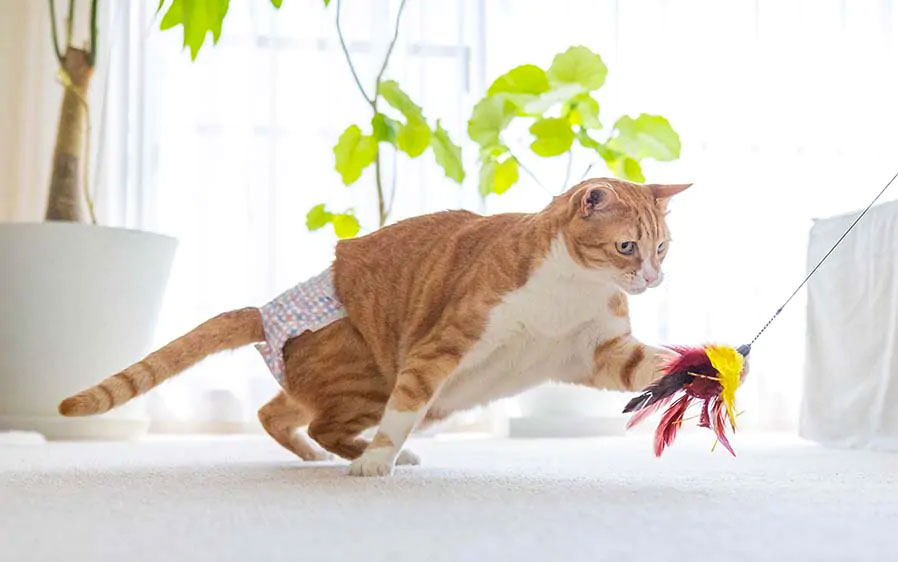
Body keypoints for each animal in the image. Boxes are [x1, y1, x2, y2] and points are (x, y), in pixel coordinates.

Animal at [59, 177, 688, 474]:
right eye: (627, 247)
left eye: (662, 247)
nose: (654, 278)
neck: (571, 288)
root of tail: (265, 309)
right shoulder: (437, 348)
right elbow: (404, 408)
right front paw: (378, 461)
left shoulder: (596, 349)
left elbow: (651, 365)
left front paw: (702, 369)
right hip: (369, 374)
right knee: (325, 422)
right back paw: (374, 454)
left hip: (343, 379)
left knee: (277, 411)